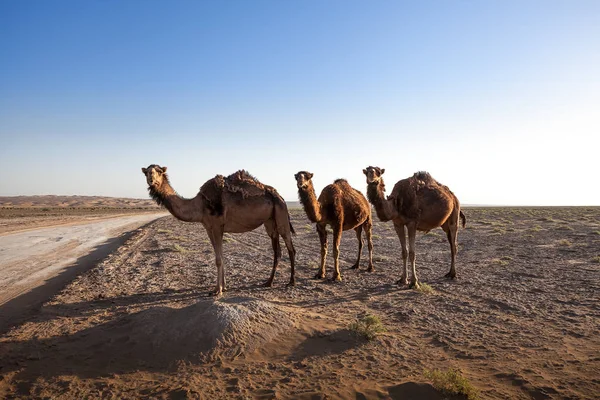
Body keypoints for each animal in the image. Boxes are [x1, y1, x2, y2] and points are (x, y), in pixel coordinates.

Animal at [144, 163, 298, 296]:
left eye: (159, 171)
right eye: (146, 172)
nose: (151, 180)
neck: (199, 205)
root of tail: (280, 197)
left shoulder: (218, 226)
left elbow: (218, 259)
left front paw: (218, 290)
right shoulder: (208, 228)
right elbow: (221, 256)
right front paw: (223, 286)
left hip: (281, 215)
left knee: (290, 248)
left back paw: (291, 282)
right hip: (270, 222)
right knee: (277, 250)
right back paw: (268, 282)